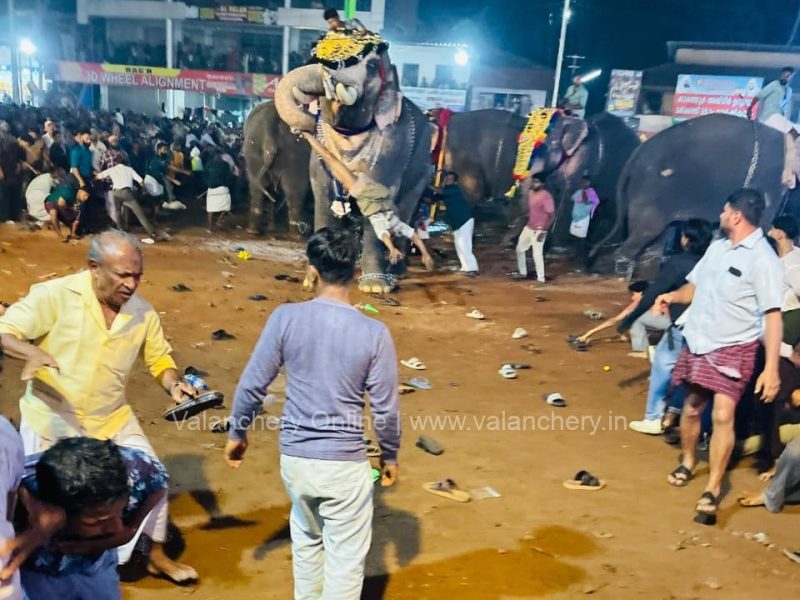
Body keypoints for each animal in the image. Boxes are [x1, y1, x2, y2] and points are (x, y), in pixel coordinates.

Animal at [244, 102, 312, 236]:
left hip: (253, 150)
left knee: (257, 188)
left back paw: (253, 230)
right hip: (295, 153)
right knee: (295, 191)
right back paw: (296, 234)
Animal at [276, 28, 438, 292]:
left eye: (371, 65)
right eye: (314, 56)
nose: (304, 127)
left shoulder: (393, 144)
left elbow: (382, 197)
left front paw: (375, 287)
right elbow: (322, 196)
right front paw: (310, 281)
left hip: (424, 167)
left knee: (407, 208)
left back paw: (397, 271)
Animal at [592, 113, 788, 278]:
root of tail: (637, 152)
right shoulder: (769, 180)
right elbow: (762, 224)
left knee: (655, 242)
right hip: (649, 191)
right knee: (644, 234)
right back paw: (622, 276)